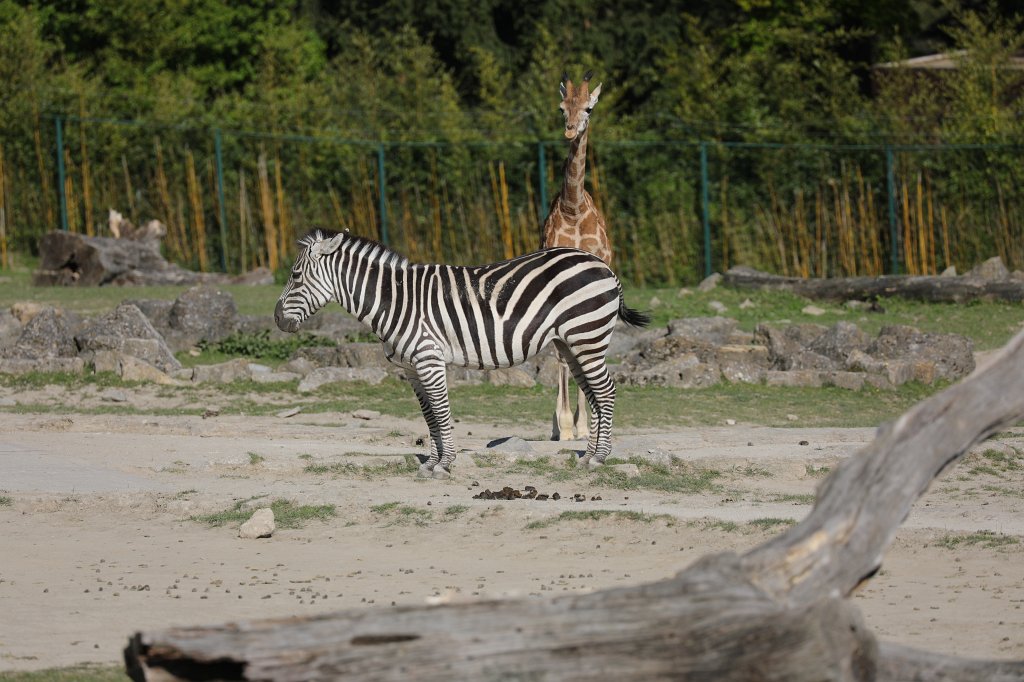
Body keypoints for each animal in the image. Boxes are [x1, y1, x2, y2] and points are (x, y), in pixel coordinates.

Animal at [275, 228, 650, 478]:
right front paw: (430, 462)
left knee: (606, 391)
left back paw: (600, 458)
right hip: (571, 344)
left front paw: (445, 464)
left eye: (295, 275)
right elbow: (429, 416)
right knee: (595, 395)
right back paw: (588, 457)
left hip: (588, 337)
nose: (277, 319)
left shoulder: (428, 359)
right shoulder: (411, 368)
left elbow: (441, 412)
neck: (396, 300)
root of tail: (603, 265)